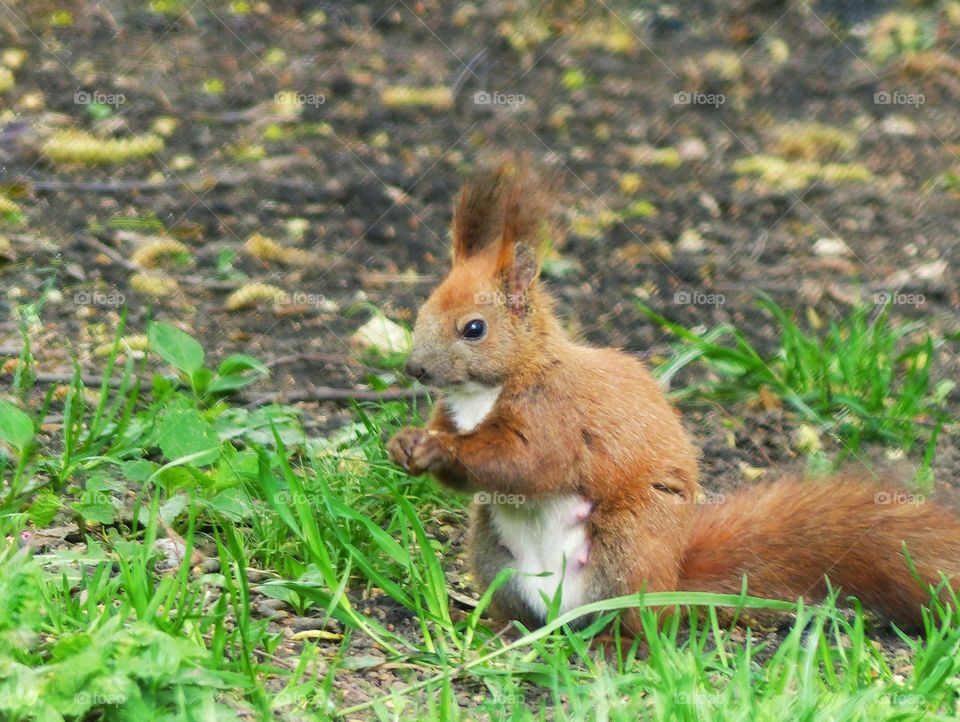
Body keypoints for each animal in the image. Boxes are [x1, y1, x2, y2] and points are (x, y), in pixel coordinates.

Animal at [386, 161, 960, 633]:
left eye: (474, 329)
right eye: (424, 309)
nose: (414, 369)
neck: (483, 393)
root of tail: (670, 582)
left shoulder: (555, 413)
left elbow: (528, 463)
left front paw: (441, 449)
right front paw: (404, 444)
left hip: (628, 545)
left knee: (638, 627)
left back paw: (610, 645)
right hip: (491, 551)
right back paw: (500, 630)